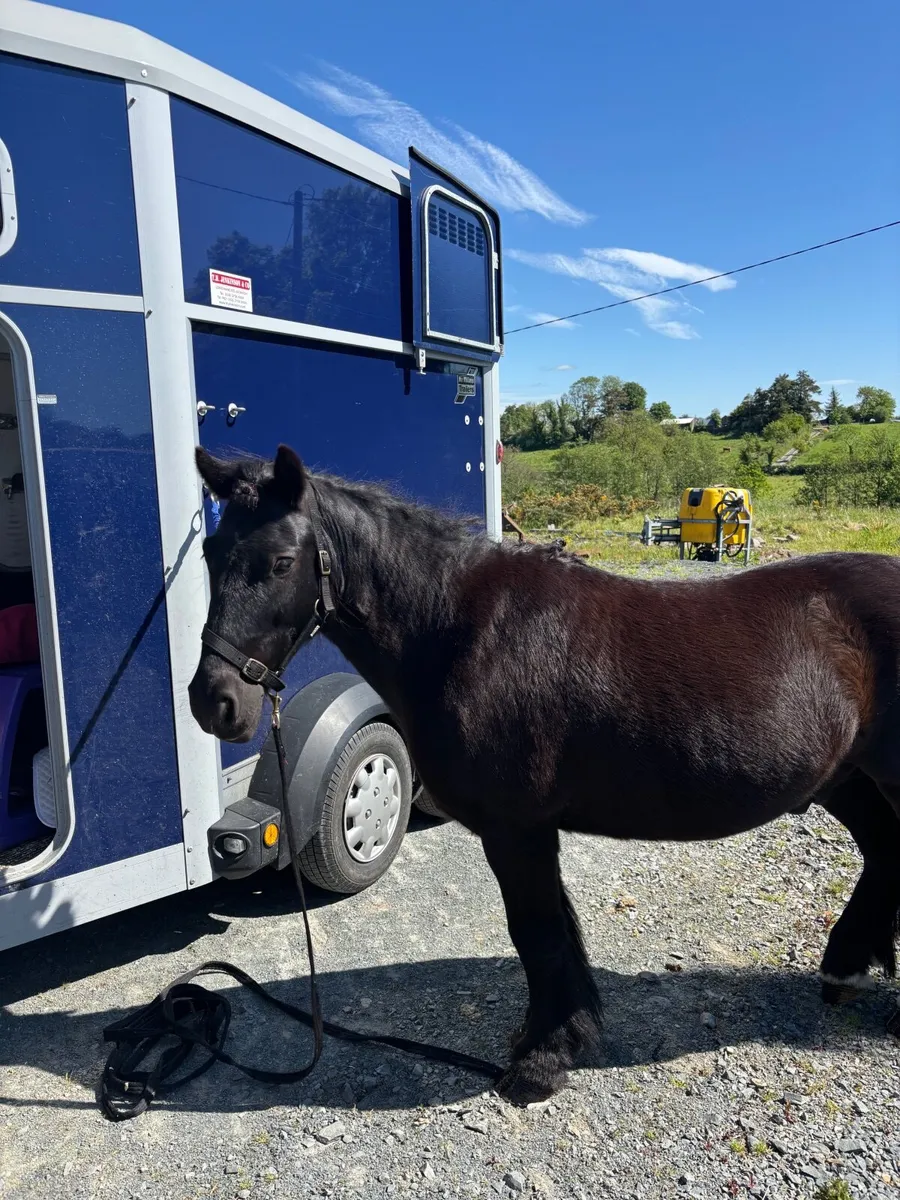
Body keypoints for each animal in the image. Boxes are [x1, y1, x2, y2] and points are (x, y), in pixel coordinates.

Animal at [189, 444, 900, 1105]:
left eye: (282, 562)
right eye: (211, 554)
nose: (213, 701)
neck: (461, 634)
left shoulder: (517, 829)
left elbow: (536, 932)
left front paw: (541, 1061)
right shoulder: (528, 831)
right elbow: (551, 933)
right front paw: (561, 1035)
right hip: (844, 779)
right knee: (882, 851)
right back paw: (845, 969)